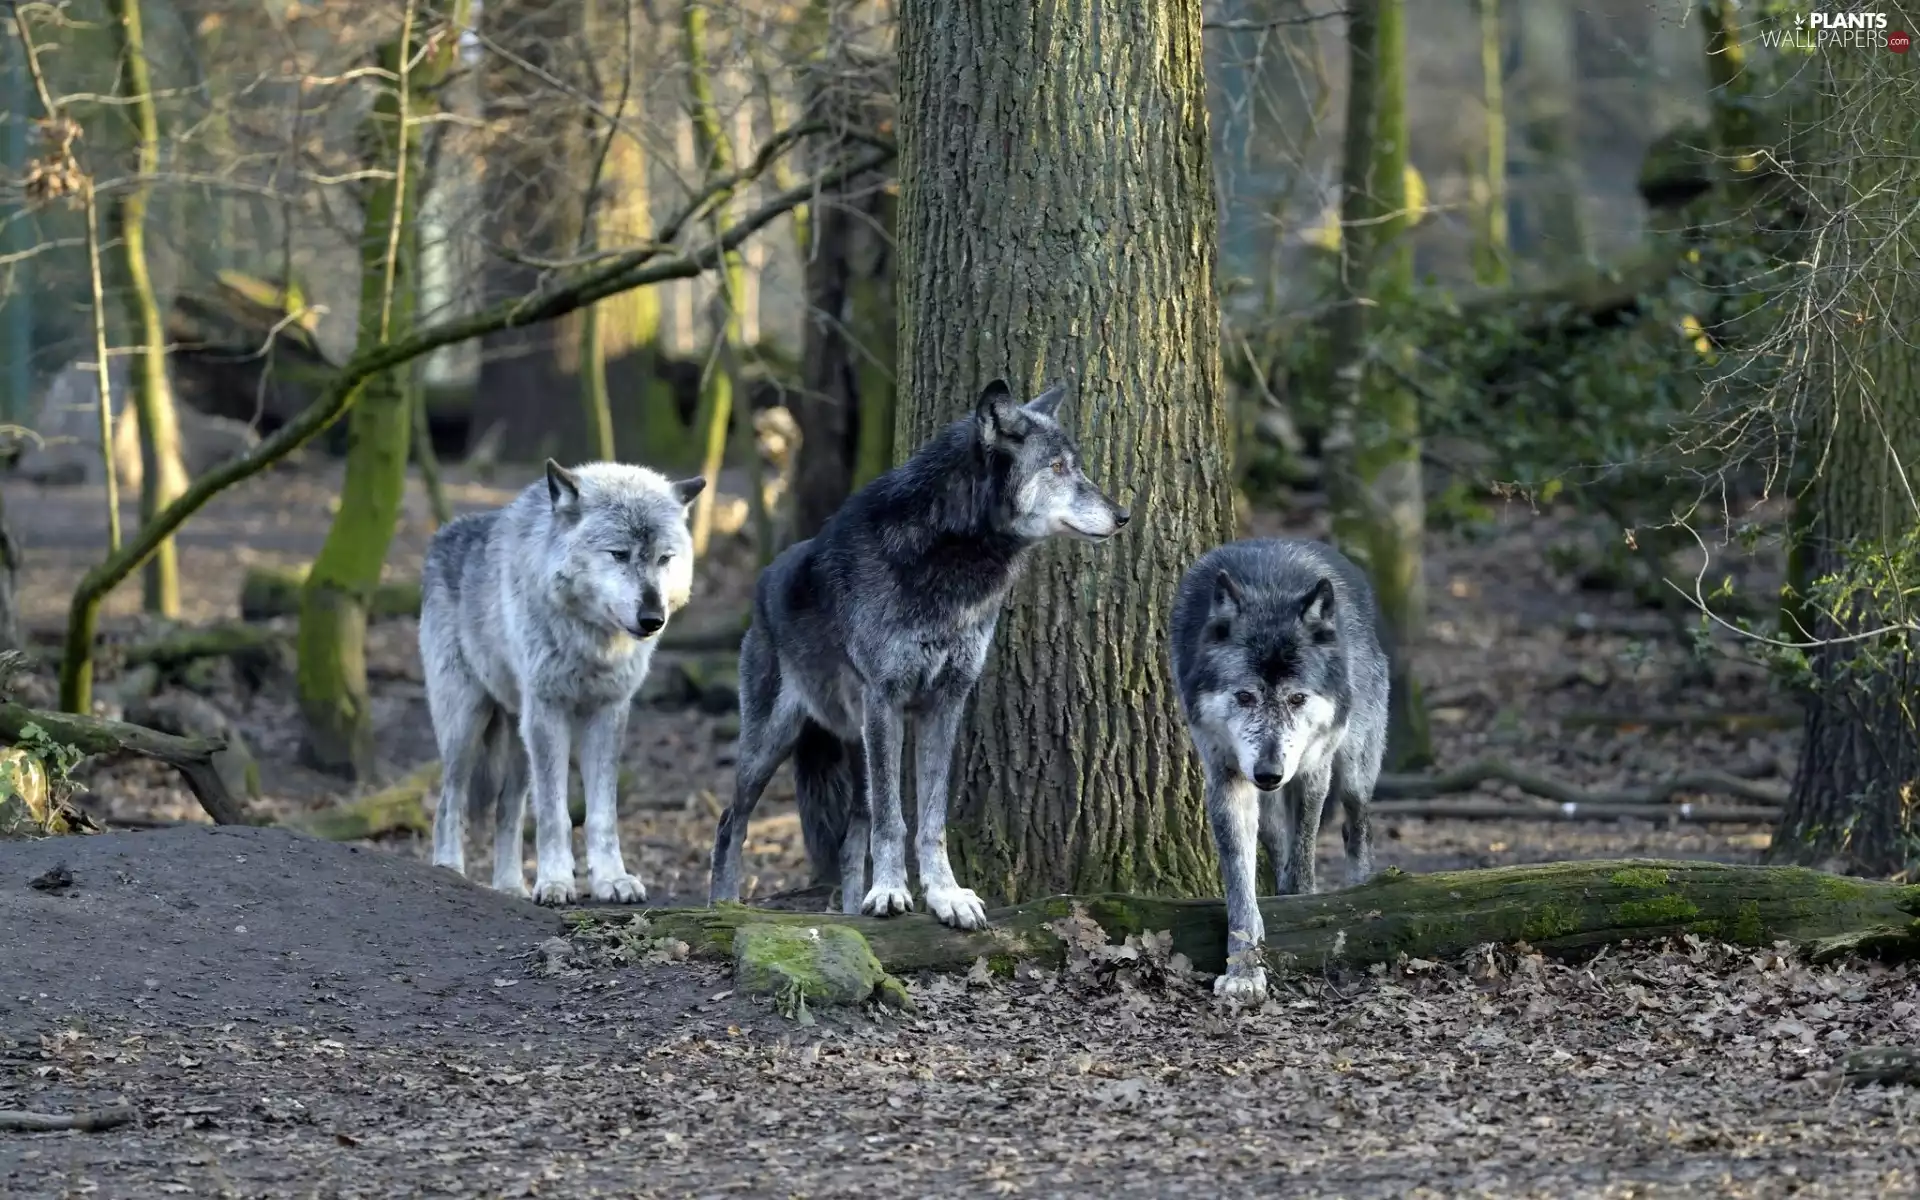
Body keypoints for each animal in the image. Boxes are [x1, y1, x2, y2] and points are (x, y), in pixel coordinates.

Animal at [419, 460, 706, 906]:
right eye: (619, 554)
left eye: (664, 558)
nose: (652, 619)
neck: (594, 644)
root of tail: (443, 533)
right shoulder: (548, 713)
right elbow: (555, 814)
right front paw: (555, 881)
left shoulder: (608, 713)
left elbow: (602, 815)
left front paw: (612, 879)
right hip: (467, 724)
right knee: (450, 799)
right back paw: (449, 868)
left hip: (519, 739)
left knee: (507, 810)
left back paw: (510, 887)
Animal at [708, 379, 1131, 929]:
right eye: (1058, 467)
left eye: (1076, 465)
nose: (1124, 516)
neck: (951, 557)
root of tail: (762, 581)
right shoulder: (886, 700)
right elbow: (894, 820)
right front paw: (891, 892)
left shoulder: (945, 702)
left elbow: (929, 819)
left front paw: (946, 895)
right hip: (772, 742)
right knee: (729, 822)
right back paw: (723, 906)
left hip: (855, 745)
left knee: (851, 838)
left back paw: (850, 911)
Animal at [1170, 538, 1390, 1000]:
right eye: (1245, 697)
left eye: (1297, 699)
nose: (1269, 773)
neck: (1268, 590)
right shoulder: (1228, 779)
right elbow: (1240, 883)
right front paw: (1244, 970)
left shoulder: (1311, 772)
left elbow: (1305, 856)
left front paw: (1303, 916)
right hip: (1269, 804)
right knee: (1277, 841)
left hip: (1354, 767)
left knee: (1356, 827)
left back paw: (1360, 888)